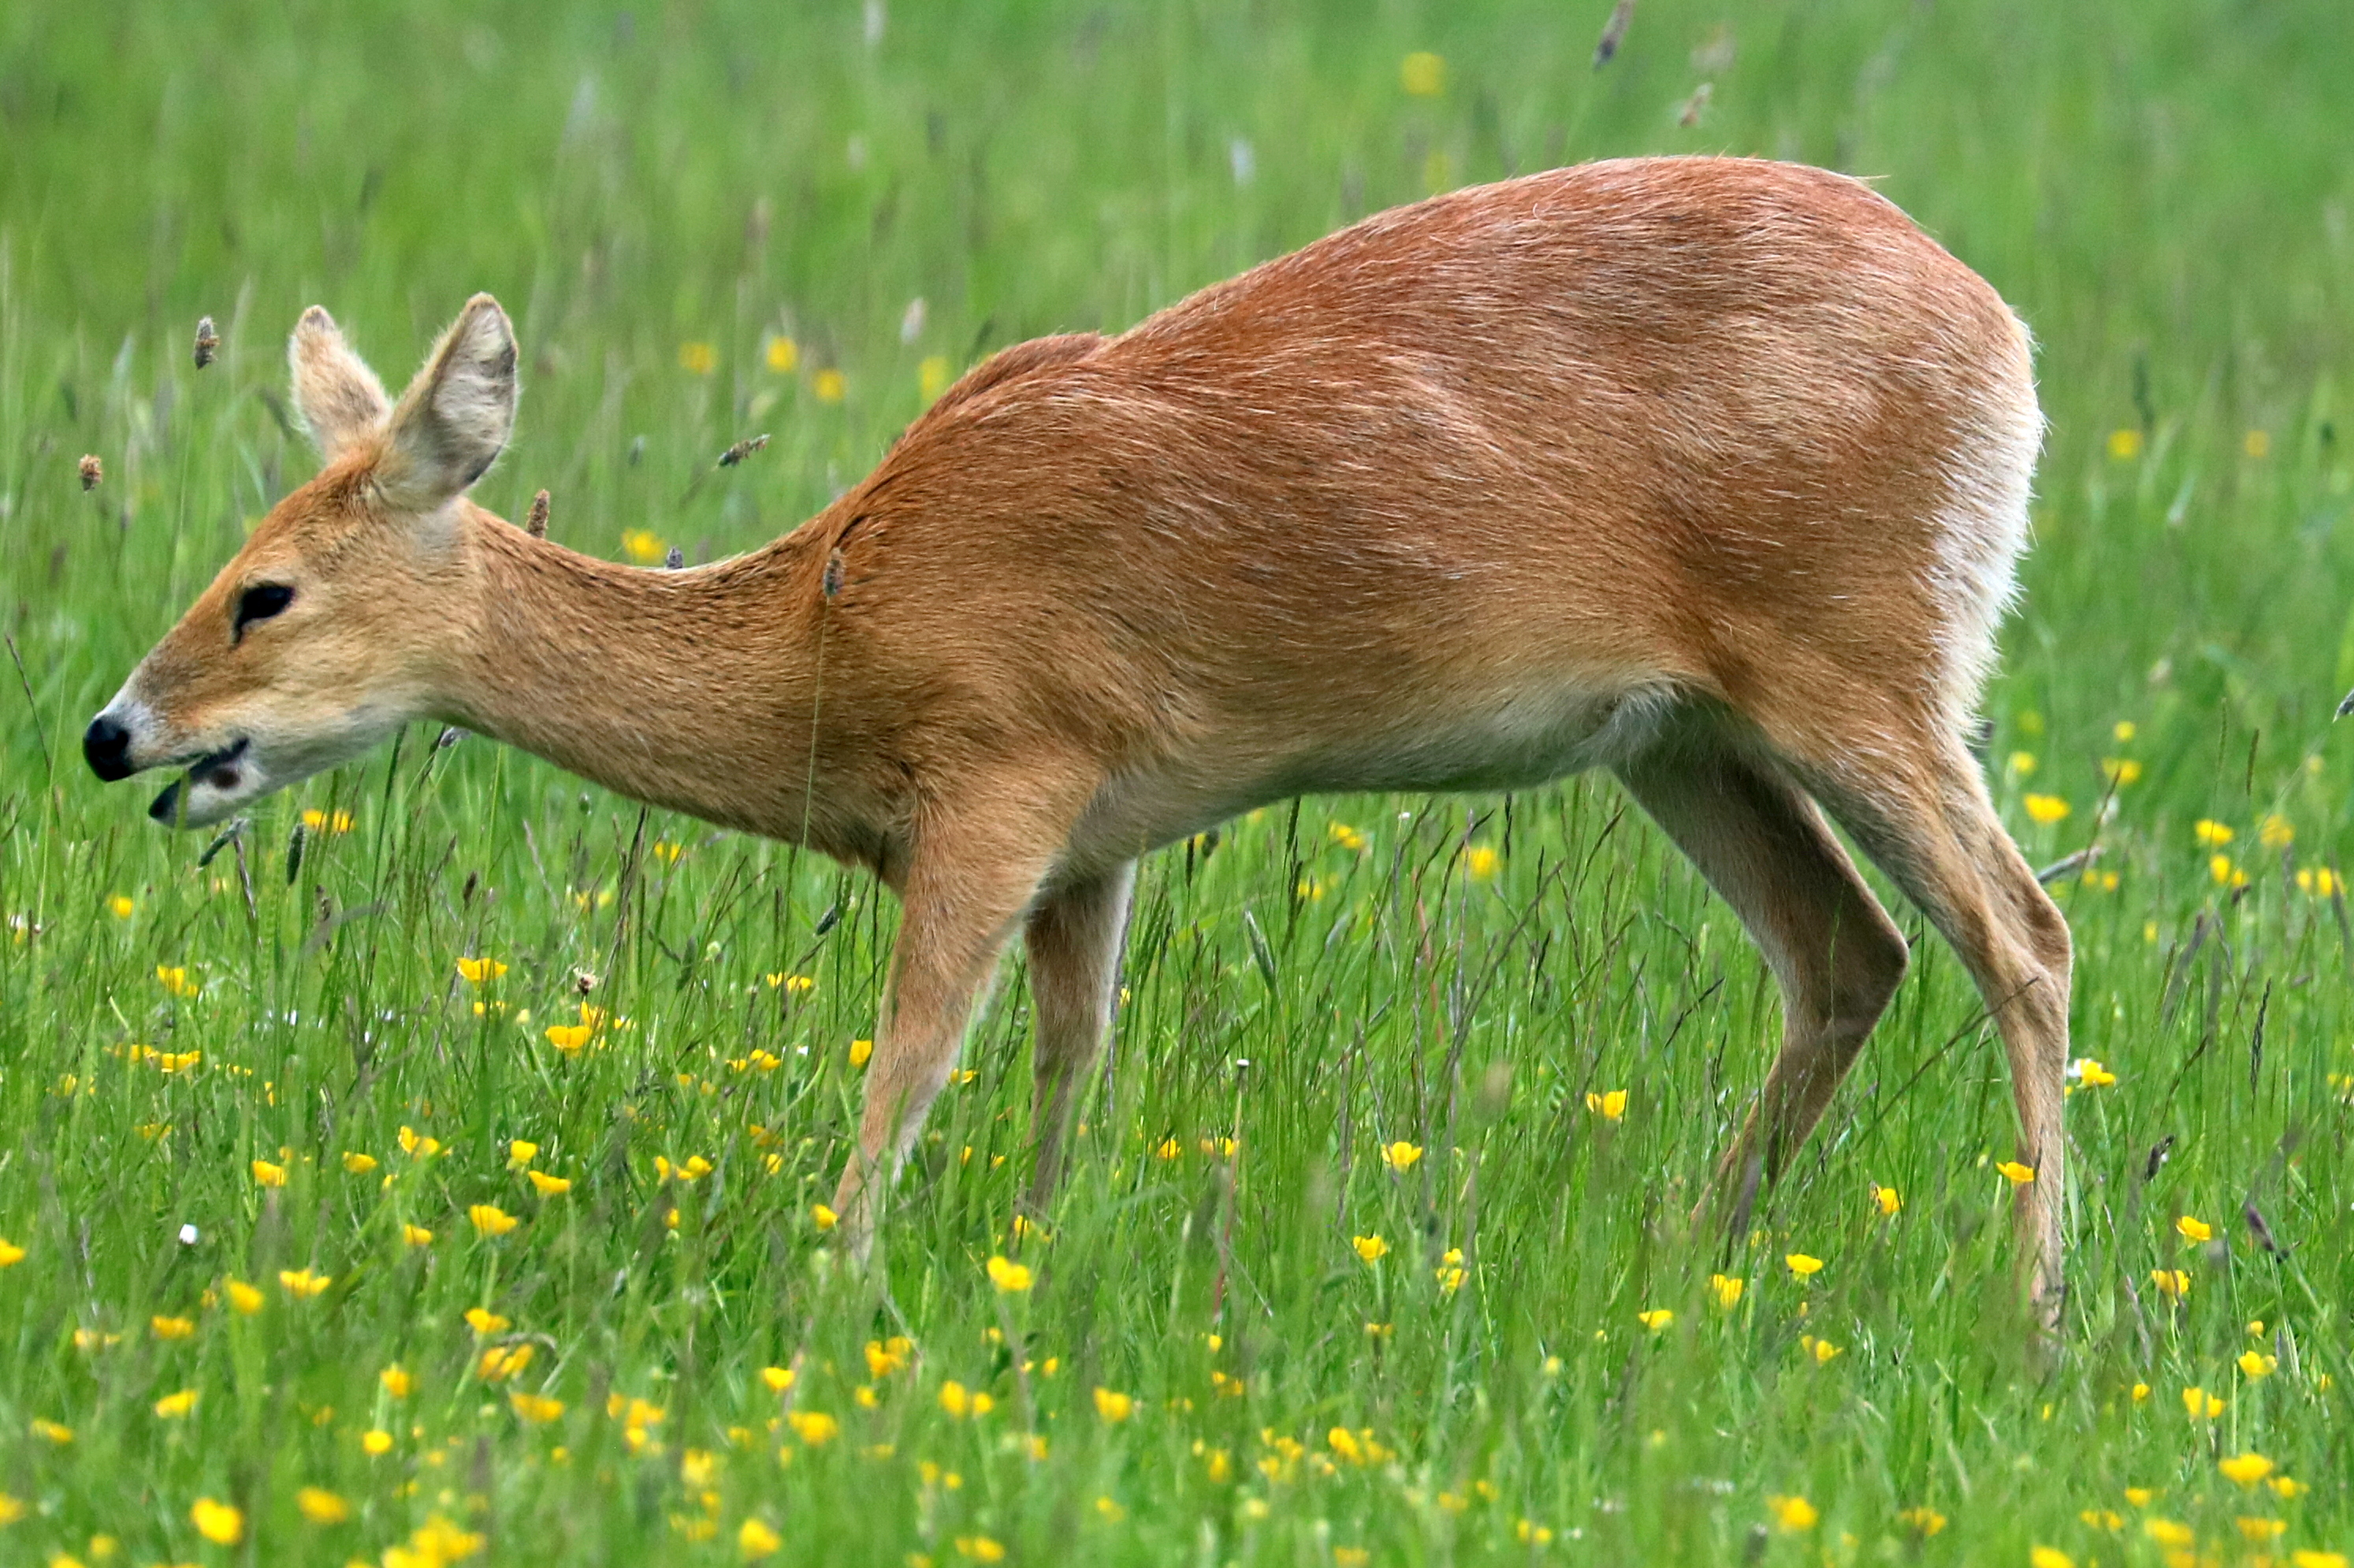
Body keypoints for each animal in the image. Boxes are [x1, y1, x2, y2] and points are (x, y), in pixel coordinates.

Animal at [84, 156, 2071, 1311]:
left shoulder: (1001, 768)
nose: (113, 732)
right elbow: (1065, 1061)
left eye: (261, 591)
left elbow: (904, 1065)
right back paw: (1685, 1255)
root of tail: (2005, 334)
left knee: (2021, 932)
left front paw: (834, 1300)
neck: (835, 629)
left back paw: (2033, 1314)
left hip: (1858, 650)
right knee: (1851, 948)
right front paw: (1027, 1277)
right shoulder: (1101, 836)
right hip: (1677, 732)